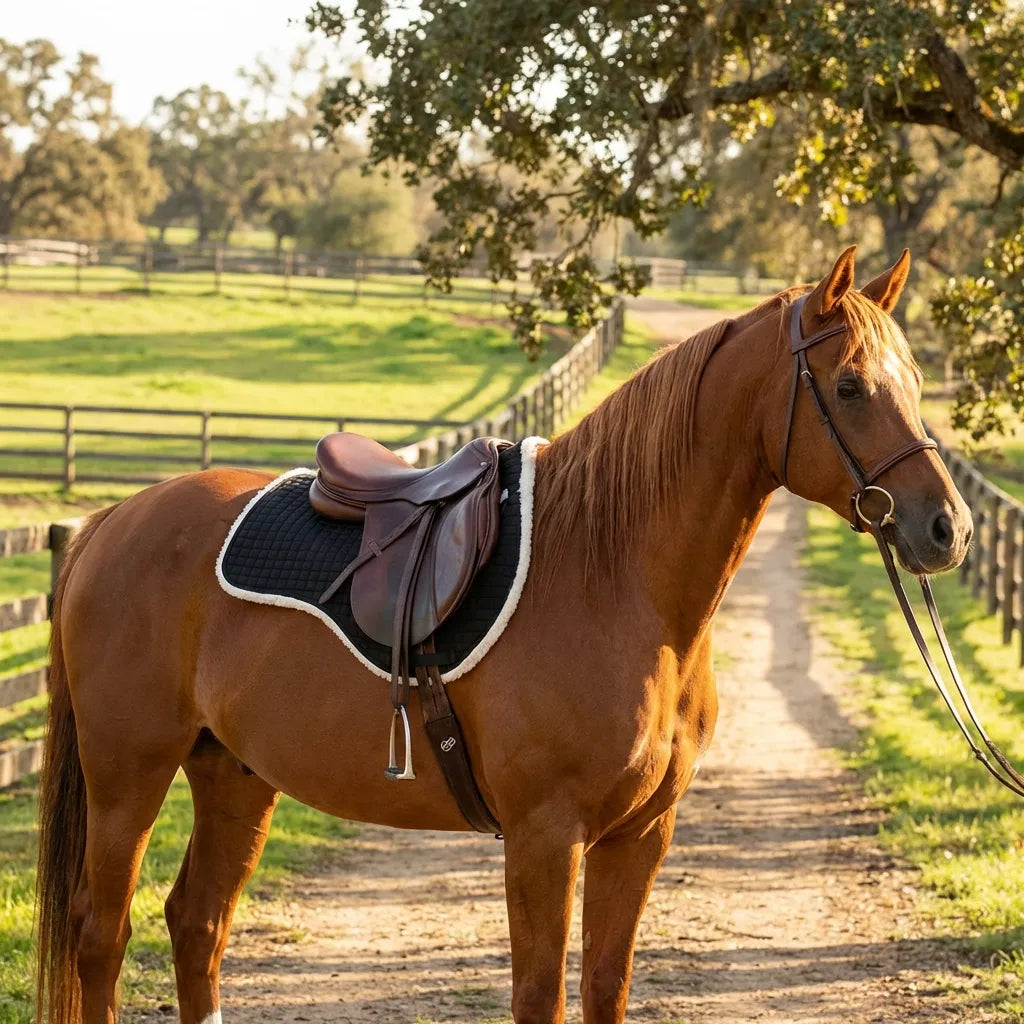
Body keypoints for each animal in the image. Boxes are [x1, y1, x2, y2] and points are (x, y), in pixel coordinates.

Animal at [34, 245, 972, 1024]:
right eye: (849, 386)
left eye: (918, 380)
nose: (946, 529)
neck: (612, 574)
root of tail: (108, 523)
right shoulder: (544, 839)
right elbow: (539, 998)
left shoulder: (641, 836)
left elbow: (605, 989)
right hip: (129, 776)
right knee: (101, 937)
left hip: (234, 774)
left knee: (197, 924)